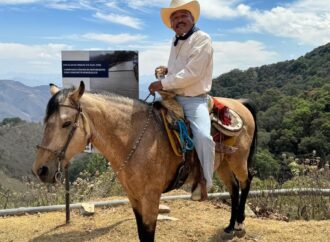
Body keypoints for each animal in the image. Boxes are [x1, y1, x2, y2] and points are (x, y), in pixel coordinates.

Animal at [32, 82, 256, 242]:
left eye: (66, 123)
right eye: (45, 122)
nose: (41, 170)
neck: (136, 140)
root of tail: (240, 104)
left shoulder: (150, 198)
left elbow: (148, 234)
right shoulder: (134, 197)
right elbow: (141, 233)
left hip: (238, 160)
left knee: (245, 182)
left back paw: (240, 225)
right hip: (223, 164)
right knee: (233, 188)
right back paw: (230, 226)